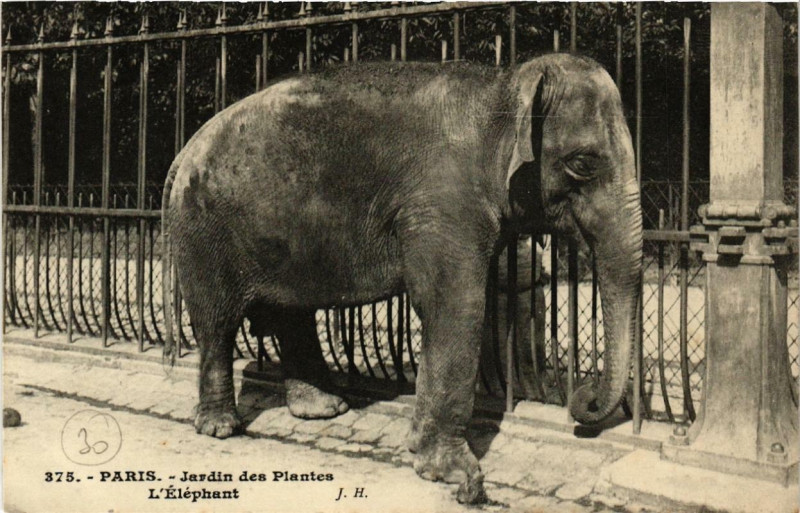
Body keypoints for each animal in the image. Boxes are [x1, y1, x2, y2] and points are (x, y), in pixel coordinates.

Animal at [161, 53, 643, 504]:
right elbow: (455, 303)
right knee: (217, 324)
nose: (584, 400)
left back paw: (325, 410)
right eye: (583, 163)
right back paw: (222, 427)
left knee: (291, 315)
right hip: (204, 231)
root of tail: (183, 151)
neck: (503, 85)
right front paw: (456, 474)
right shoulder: (441, 200)